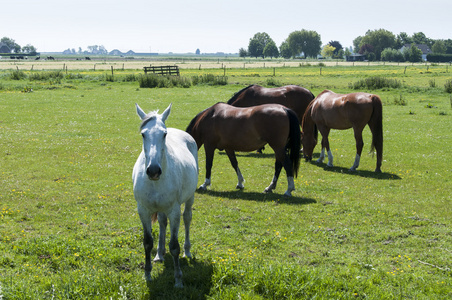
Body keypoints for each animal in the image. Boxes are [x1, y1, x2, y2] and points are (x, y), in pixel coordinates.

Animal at [132, 103, 200, 288]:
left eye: (164, 134)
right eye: (143, 134)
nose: (153, 170)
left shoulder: (174, 211)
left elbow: (174, 246)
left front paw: (178, 280)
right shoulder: (143, 210)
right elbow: (147, 242)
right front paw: (147, 274)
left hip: (189, 198)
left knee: (187, 218)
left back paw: (187, 251)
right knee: (162, 223)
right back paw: (159, 254)